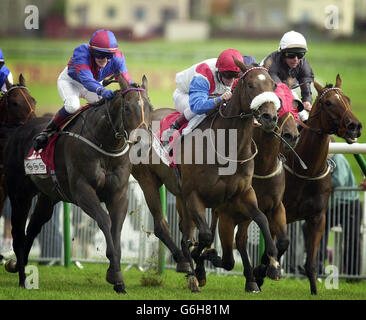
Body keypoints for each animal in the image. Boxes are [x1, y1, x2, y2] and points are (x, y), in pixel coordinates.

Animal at [132, 60, 284, 292]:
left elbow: (262, 219)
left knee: (185, 229)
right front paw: (202, 256)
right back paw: (186, 264)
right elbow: (205, 235)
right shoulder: (195, 195)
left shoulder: (243, 193)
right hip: (148, 181)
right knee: (162, 226)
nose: (270, 117)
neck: (228, 147)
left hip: (180, 195)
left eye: (273, 85)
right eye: (250, 85)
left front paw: (273, 264)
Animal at [282, 74, 362, 294]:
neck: (305, 169)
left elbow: (310, 263)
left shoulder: (317, 218)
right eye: (328, 103)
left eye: (348, 99)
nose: (355, 126)